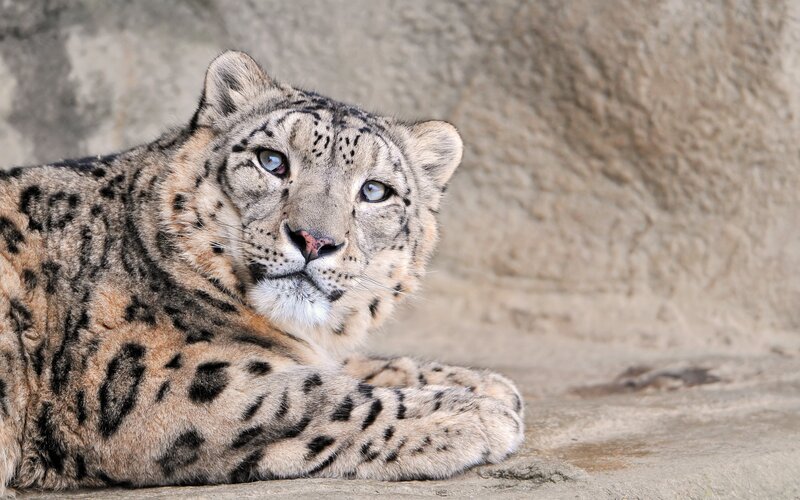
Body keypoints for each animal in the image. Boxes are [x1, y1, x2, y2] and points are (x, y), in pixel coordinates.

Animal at [0, 51, 523, 493]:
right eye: (272, 161)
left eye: (375, 191)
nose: (314, 240)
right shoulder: (159, 382)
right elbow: (315, 397)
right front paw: (475, 412)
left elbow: (353, 367)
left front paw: (483, 383)